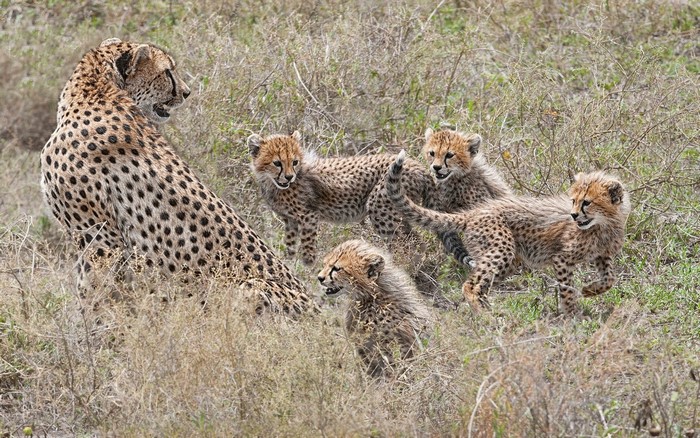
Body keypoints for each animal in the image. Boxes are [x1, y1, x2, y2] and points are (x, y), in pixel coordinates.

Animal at [40, 38, 317, 314]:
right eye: (167, 72)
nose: (186, 92)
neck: (95, 91)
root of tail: (318, 310)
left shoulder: (100, 241)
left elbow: (94, 296)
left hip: (247, 287)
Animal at [248, 131, 434, 265]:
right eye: (277, 163)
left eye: (294, 162)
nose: (288, 177)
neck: (273, 183)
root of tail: (419, 167)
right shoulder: (290, 220)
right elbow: (290, 245)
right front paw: (289, 263)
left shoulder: (308, 216)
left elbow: (307, 246)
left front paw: (307, 268)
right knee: (417, 242)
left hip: (381, 210)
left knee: (407, 245)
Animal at [386, 150, 631, 315]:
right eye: (573, 201)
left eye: (587, 202)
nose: (573, 215)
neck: (603, 224)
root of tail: (475, 212)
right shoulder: (562, 258)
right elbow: (568, 288)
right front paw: (571, 313)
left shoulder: (602, 255)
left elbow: (610, 278)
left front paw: (590, 290)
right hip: (501, 248)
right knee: (470, 284)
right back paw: (484, 314)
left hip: (507, 260)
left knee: (482, 281)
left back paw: (488, 307)